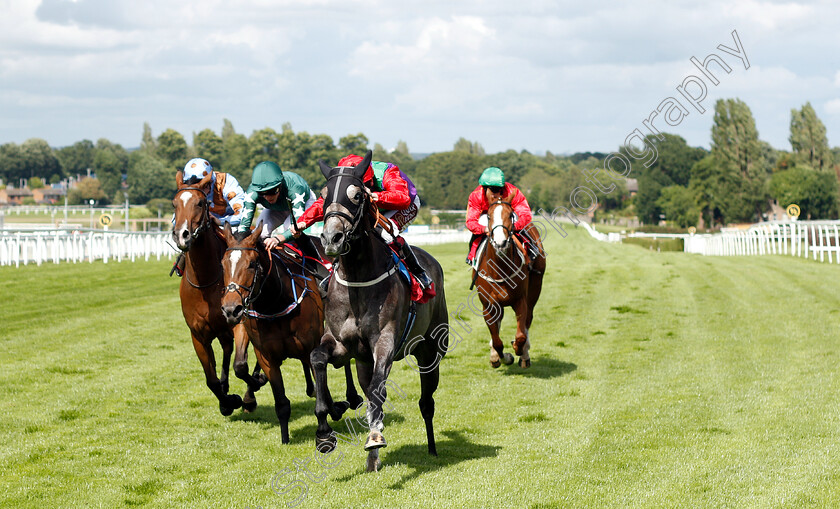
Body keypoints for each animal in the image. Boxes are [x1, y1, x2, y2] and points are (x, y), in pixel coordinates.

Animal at [171, 171, 260, 412]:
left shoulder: (239, 321)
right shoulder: (198, 334)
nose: (182, 235)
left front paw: (247, 395)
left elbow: (241, 365)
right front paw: (227, 401)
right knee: (227, 349)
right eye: (174, 204)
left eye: (200, 203)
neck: (206, 281)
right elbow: (210, 380)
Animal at [218, 224, 362, 442]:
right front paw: (285, 439)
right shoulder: (266, 357)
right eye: (223, 264)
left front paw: (333, 413)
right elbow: (282, 403)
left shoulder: (313, 345)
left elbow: (325, 391)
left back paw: (351, 397)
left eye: (252, 264)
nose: (231, 309)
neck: (275, 303)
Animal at [310, 151, 452, 472]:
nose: (331, 239)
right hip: (363, 363)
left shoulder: (385, 342)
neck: (358, 279)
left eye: (357, 195)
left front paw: (375, 436)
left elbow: (378, 390)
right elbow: (317, 359)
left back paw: (432, 448)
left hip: (431, 352)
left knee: (426, 402)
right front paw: (324, 433)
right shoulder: (341, 345)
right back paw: (372, 460)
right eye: (323, 195)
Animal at [472, 196, 544, 368]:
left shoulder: (521, 300)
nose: (500, 242)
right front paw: (500, 357)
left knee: (528, 319)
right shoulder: (489, 305)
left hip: (535, 288)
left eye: (511, 214)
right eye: (488, 216)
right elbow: (497, 341)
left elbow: (521, 335)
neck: (500, 268)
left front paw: (519, 350)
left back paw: (524, 355)